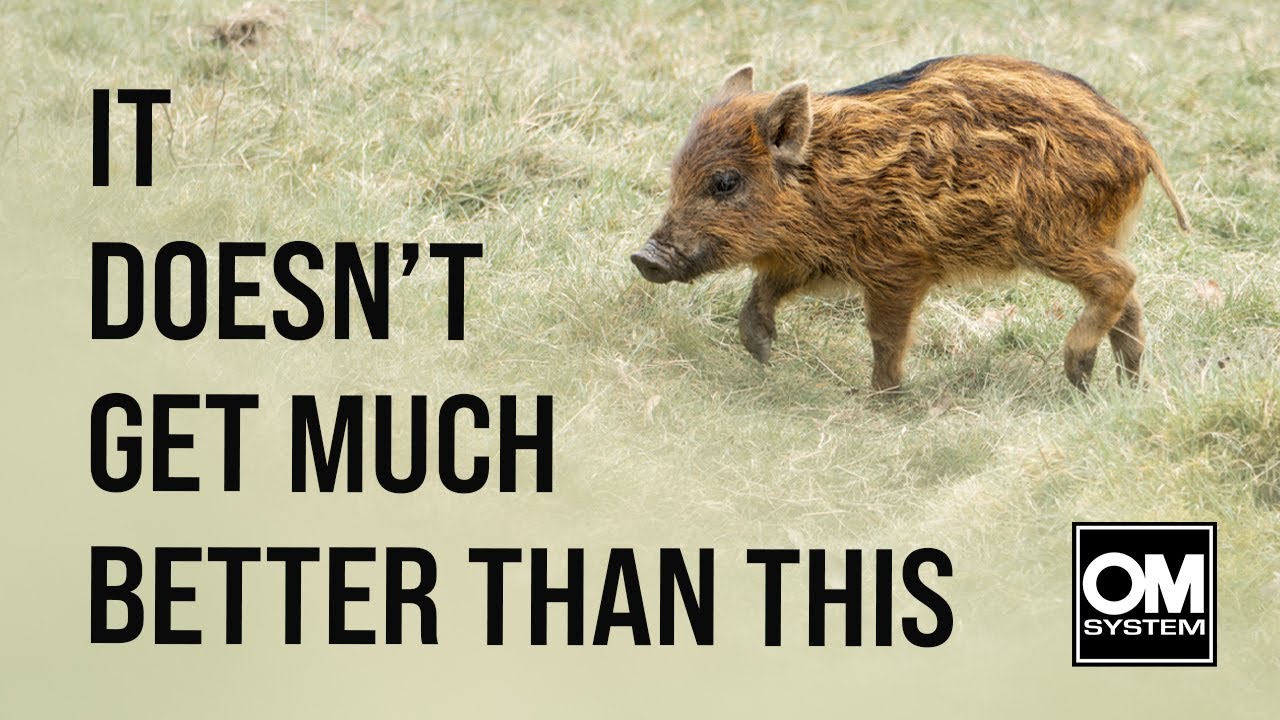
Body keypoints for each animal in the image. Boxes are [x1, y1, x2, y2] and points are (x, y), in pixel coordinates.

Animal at [630, 55, 1190, 392]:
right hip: (1093, 233)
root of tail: (1140, 144)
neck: (826, 179)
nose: (643, 257)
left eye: (724, 182)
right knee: (1129, 302)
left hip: (1051, 235)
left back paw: (1078, 372)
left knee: (1120, 279)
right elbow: (765, 287)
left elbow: (885, 334)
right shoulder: (814, 259)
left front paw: (881, 398)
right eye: (677, 172)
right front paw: (763, 353)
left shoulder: (898, 264)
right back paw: (1125, 385)